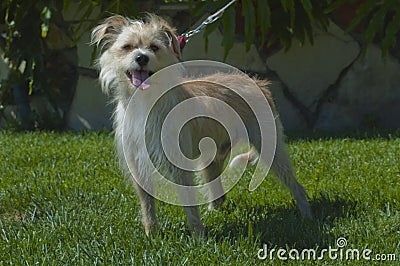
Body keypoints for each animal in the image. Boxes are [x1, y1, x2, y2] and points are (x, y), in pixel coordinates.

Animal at [91, 14, 312, 235]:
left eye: (154, 47)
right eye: (127, 47)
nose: (141, 58)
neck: (147, 100)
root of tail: (259, 84)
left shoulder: (179, 165)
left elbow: (189, 202)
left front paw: (197, 235)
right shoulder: (137, 163)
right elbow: (147, 204)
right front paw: (151, 233)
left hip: (271, 151)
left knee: (295, 185)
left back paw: (307, 215)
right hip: (211, 156)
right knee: (218, 190)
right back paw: (214, 210)